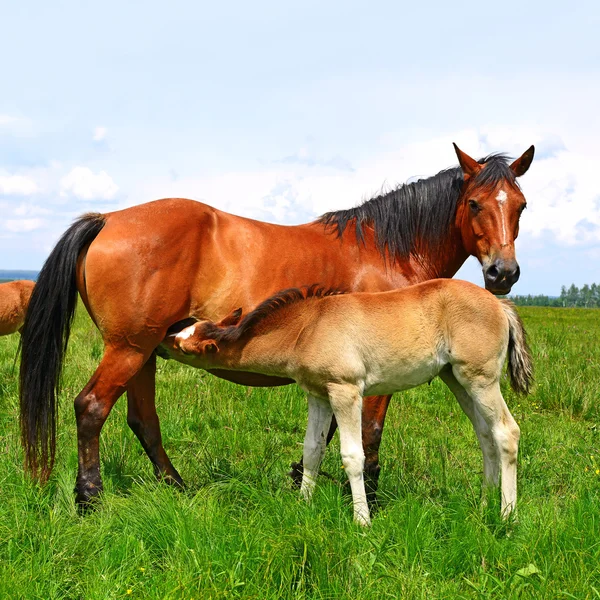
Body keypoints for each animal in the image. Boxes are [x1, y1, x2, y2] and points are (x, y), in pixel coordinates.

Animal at [162, 280, 532, 524]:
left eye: (184, 346)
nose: (162, 339)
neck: (308, 327)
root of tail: (500, 304)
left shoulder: (346, 391)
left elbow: (353, 456)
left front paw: (362, 521)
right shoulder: (317, 395)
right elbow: (312, 450)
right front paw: (303, 505)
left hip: (481, 379)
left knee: (507, 432)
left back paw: (507, 516)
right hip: (456, 379)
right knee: (485, 436)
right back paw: (482, 505)